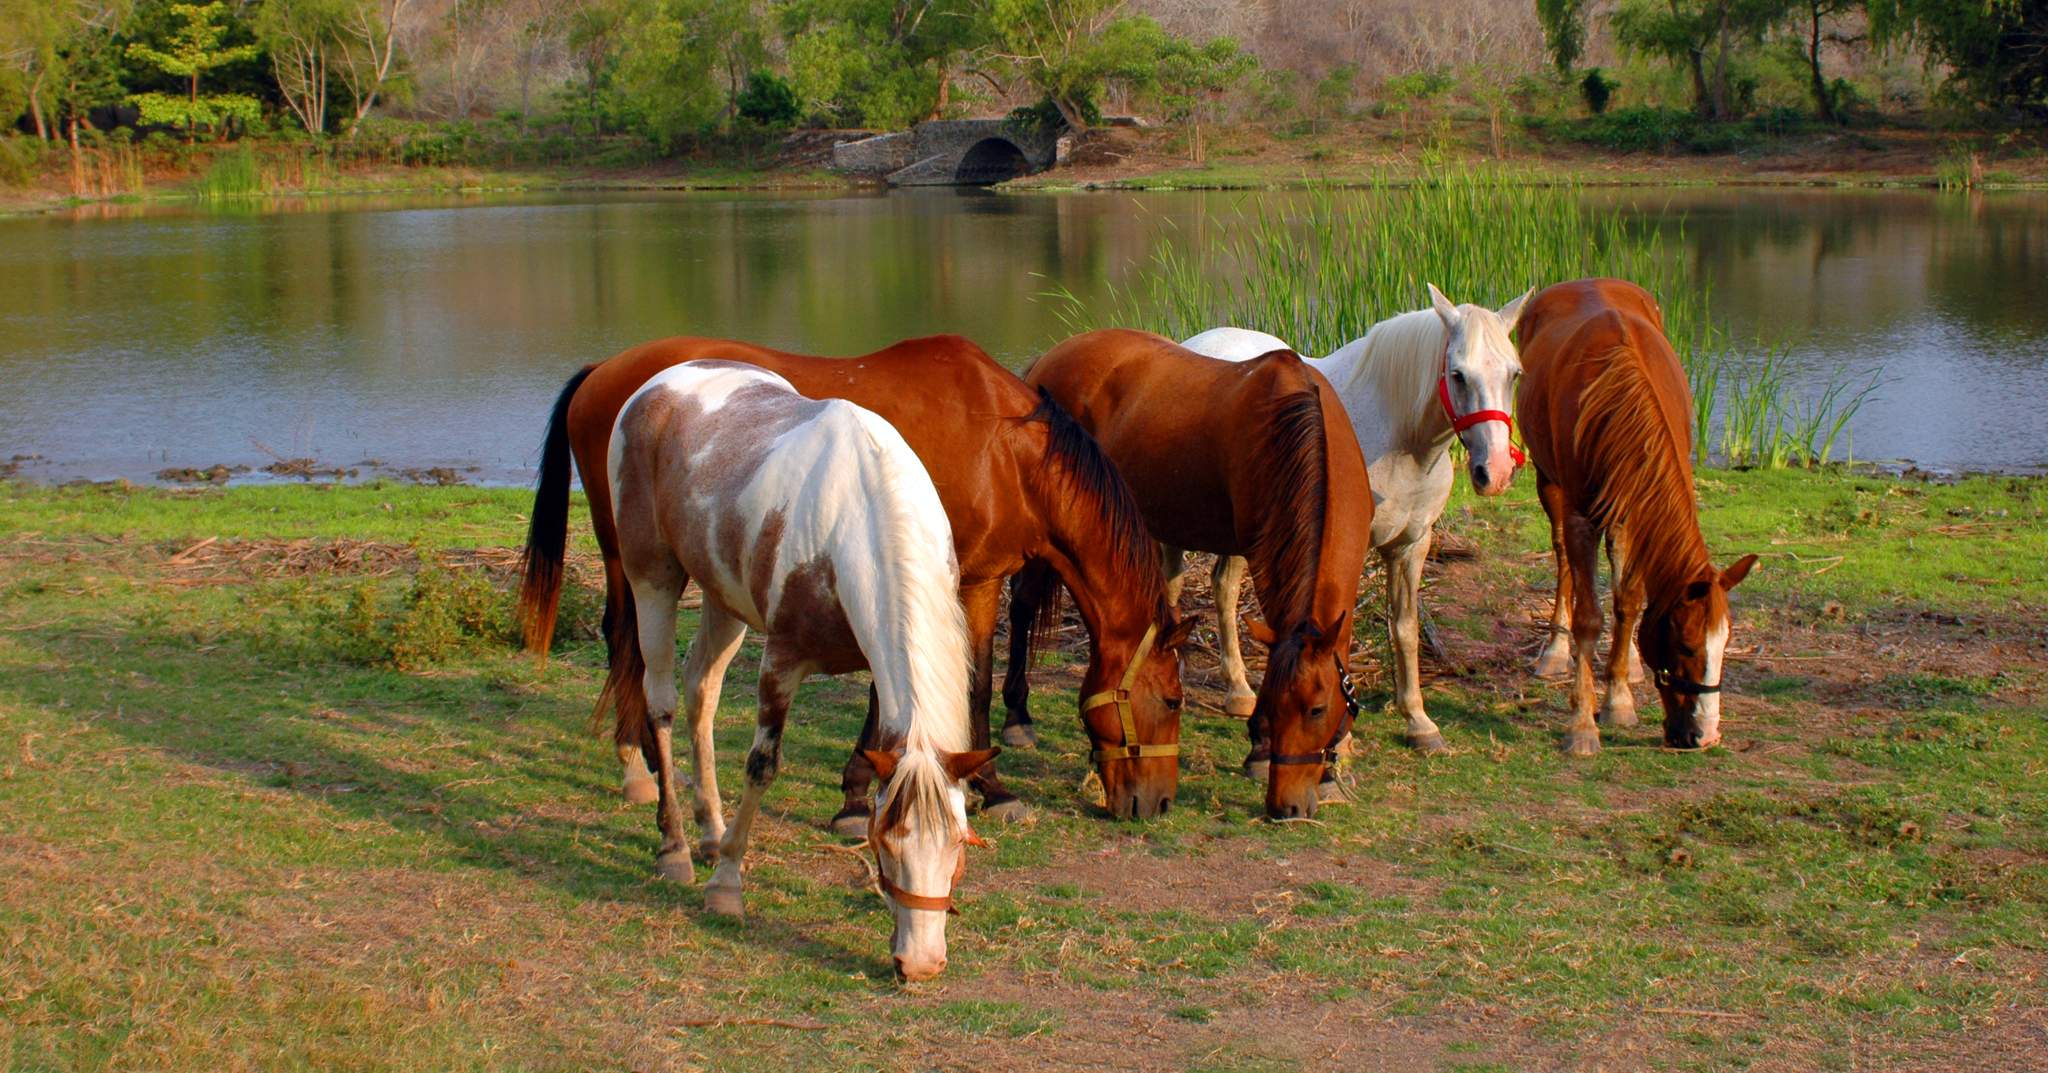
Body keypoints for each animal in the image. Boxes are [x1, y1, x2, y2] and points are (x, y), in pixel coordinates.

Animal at [512, 335, 1196, 831]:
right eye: (1172, 700)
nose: (1158, 804)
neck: (1002, 445)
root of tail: (604, 370)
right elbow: (888, 695)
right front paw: (855, 795)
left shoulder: (976, 582)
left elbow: (974, 685)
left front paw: (990, 788)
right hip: (626, 554)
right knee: (624, 640)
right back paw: (639, 767)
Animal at [602, 360, 995, 978]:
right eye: (889, 842)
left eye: (958, 842)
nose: (922, 964)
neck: (854, 520)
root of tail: (658, 384)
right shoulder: (781, 663)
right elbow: (762, 766)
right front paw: (726, 887)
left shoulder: (878, 669)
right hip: (652, 577)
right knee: (660, 700)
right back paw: (676, 848)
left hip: (723, 599)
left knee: (701, 691)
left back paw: (711, 832)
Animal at [1015, 331, 1368, 819]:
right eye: (1275, 707)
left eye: (1317, 709)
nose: (1286, 806)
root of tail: (1049, 359)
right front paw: (1259, 750)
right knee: (1022, 606)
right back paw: (1017, 719)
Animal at [1179, 284, 1531, 753]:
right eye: (1458, 374)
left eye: (1514, 374)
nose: (1495, 472)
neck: (1399, 437)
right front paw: (1340, 739)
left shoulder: (1412, 545)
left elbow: (1405, 628)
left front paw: (1419, 722)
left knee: (1223, 586)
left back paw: (1238, 691)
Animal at [1523, 280, 1761, 757]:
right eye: (1686, 645)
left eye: (1726, 643)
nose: (1705, 734)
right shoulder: (1579, 516)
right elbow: (1589, 616)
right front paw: (1582, 724)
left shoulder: (1633, 510)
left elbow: (1629, 600)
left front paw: (1617, 699)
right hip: (1549, 482)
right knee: (1561, 560)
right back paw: (1555, 650)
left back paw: (1628, 662)